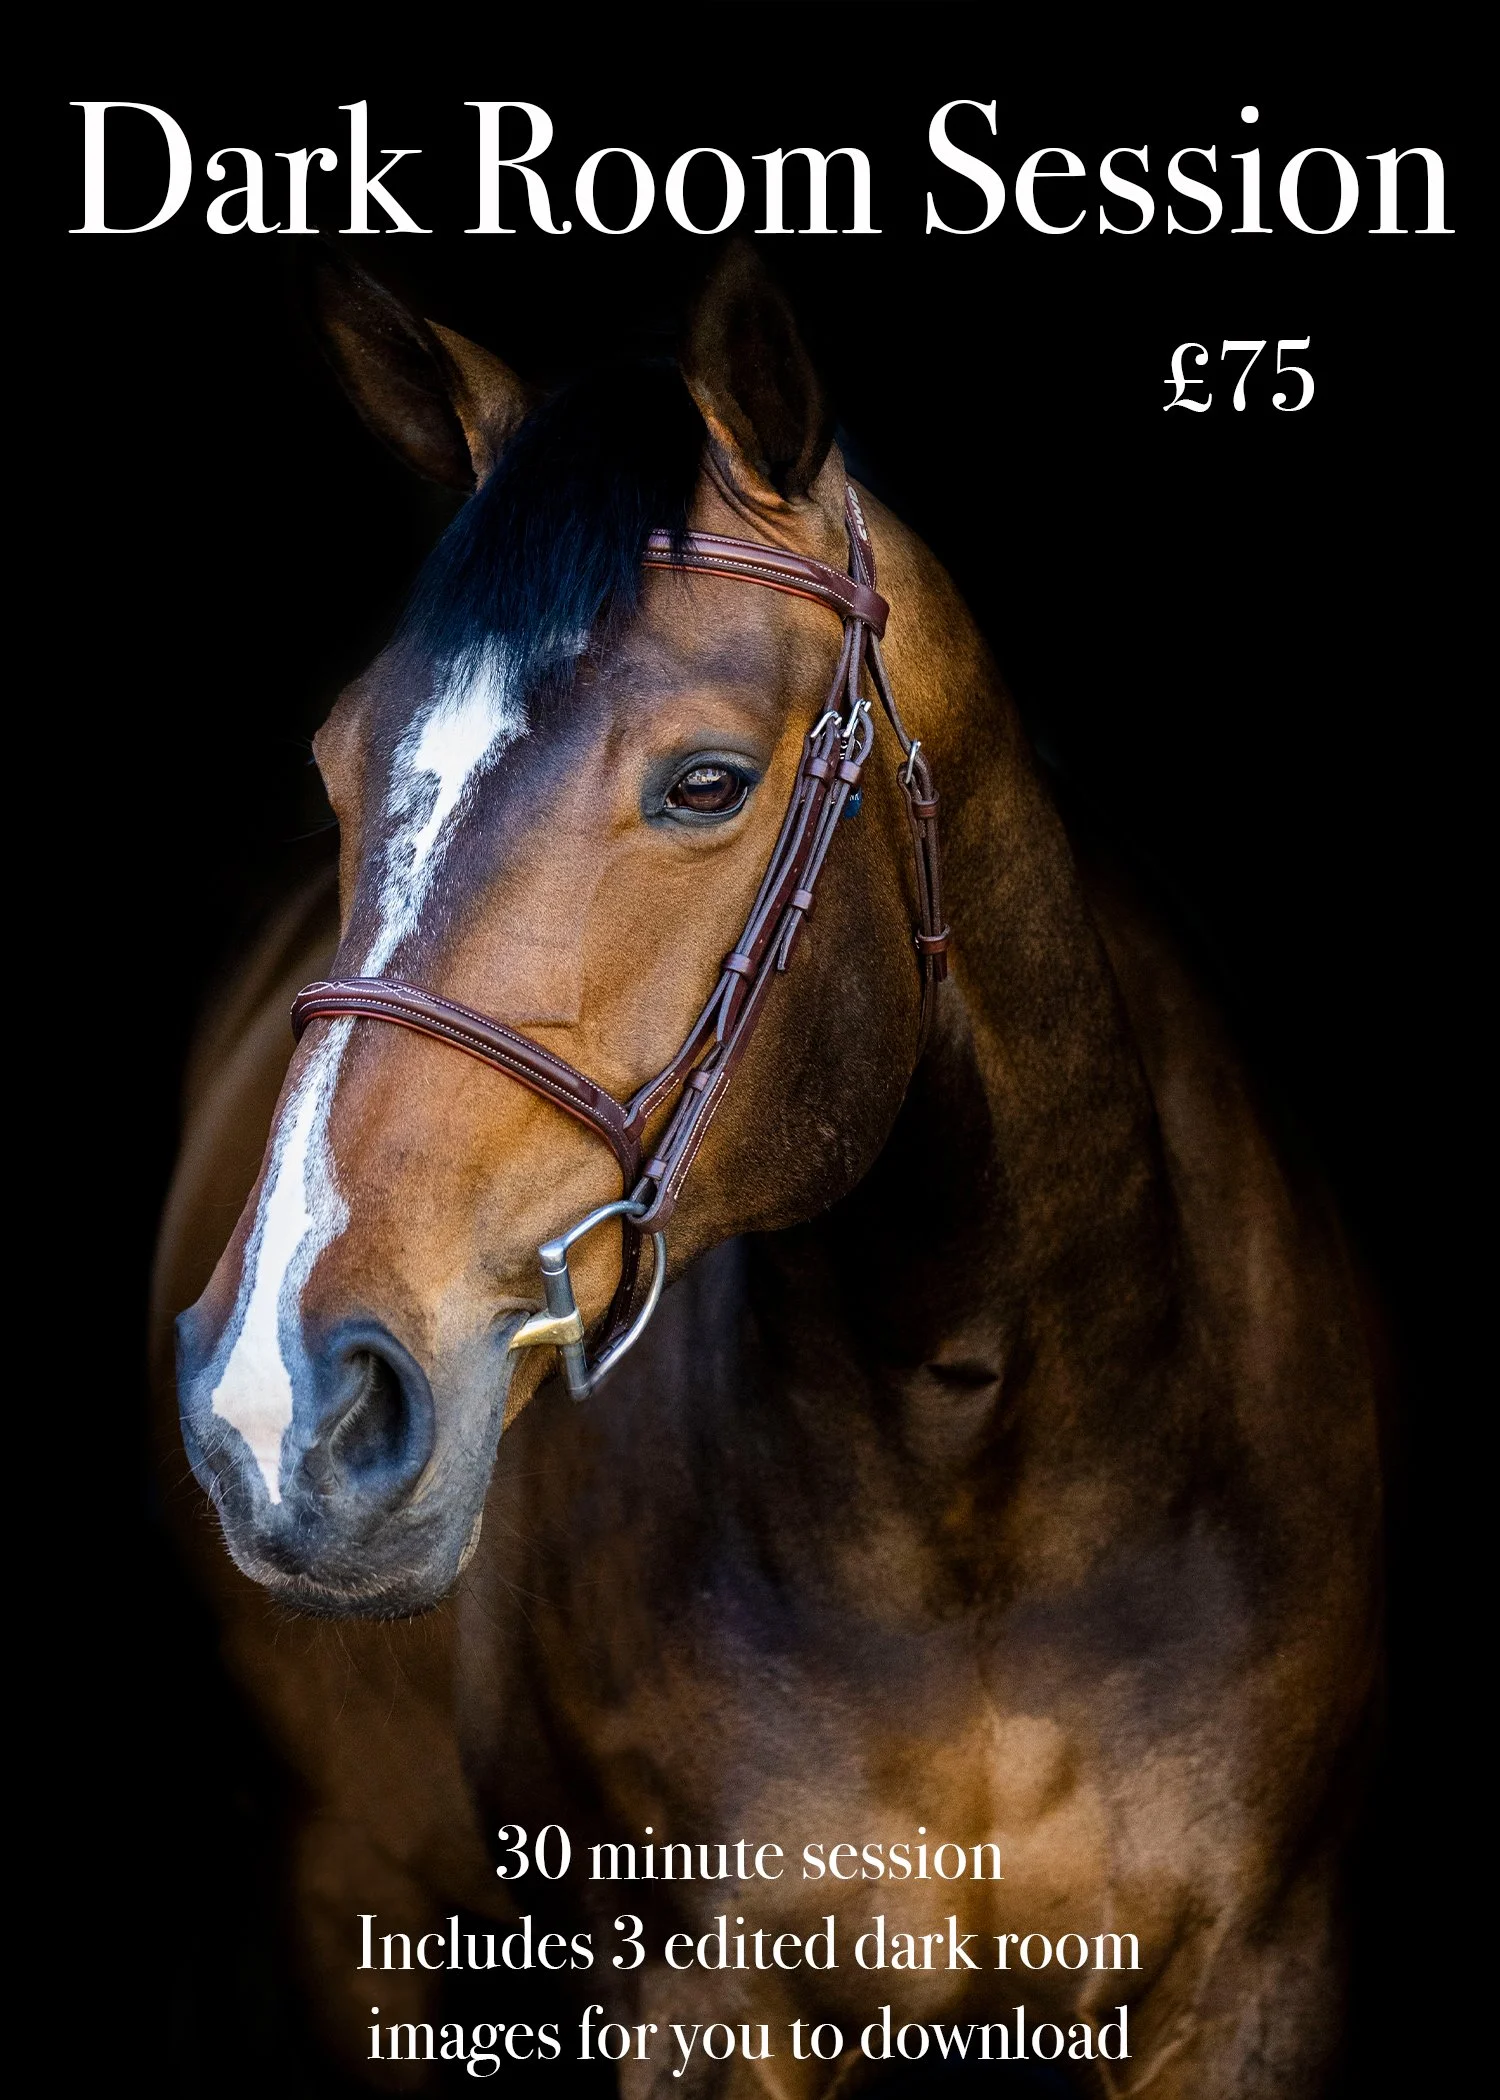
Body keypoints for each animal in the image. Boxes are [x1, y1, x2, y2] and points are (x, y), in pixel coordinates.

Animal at [153, 243, 1381, 2097]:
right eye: (338, 765)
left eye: (708, 781)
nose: (275, 1405)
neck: (984, 1475)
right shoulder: (700, 2002)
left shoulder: (1258, 1981)